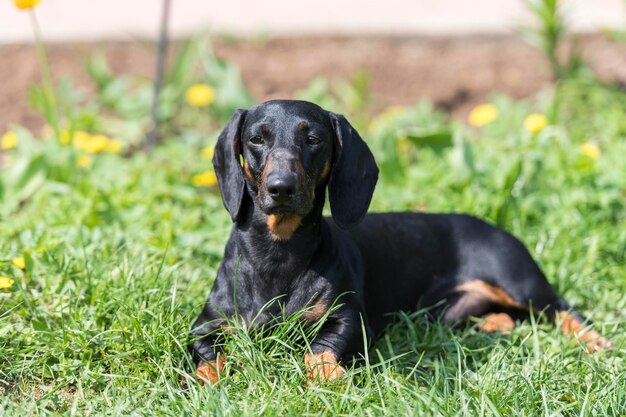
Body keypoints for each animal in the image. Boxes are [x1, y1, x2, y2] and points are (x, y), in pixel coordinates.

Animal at [189, 99, 608, 382]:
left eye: (314, 139)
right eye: (255, 139)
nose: (281, 188)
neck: (278, 252)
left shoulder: (348, 321)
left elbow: (321, 352)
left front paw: (329, 380)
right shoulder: (206, 326)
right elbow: (207, 356)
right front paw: (203, 384)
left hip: (521, 284)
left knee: (566, 310)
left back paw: (596, 343)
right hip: (446, 314)